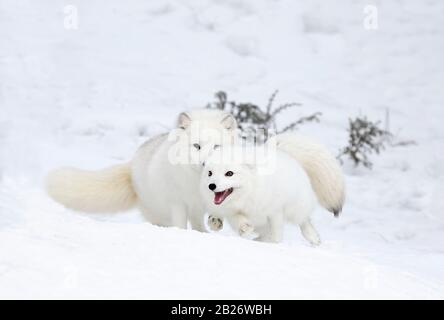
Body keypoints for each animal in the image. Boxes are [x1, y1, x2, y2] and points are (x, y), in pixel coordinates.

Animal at [46, 109, 238, 230]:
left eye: (217, 146)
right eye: (197, 146)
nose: (206, 163)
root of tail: (132, 163)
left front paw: (215, 221)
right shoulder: (177, 203)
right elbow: (181, 225)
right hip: (160, 214)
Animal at [202, 135, 346, 245]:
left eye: (229, 173)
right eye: (210, 173)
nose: (211, 186)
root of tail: (283, 152)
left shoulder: (275, 211)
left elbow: (276, 234)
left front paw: (274, 243)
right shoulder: (231, 212)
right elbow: (238, 220)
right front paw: (245, 228)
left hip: (296, 208)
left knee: (304, 221)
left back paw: (313, 238)